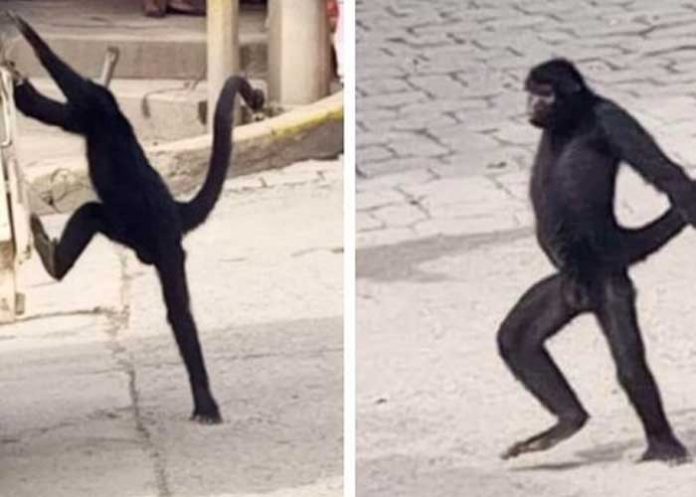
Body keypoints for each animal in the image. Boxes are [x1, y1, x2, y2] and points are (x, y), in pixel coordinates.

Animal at [5, 12, 265, 424]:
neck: (110, 127)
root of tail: (175, 208)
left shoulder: (94, 108)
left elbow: (74, 91)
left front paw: (30, 39)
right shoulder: (89, 115)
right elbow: (53, 107)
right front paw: (20, 79)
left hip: (156, 238)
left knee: (175, 308)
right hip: (131, 231)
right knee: (93, 213)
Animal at [497, 58, 696, 464]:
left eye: (545, 93)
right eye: (530, 92)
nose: (530, 104)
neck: (570, 122)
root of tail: (614, 241)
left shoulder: (610, 117)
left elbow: (670, 176)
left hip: (608, 283)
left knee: (631, 367)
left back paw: (663, 445)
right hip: (562, 286)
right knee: (515, 340)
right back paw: (567, 421)